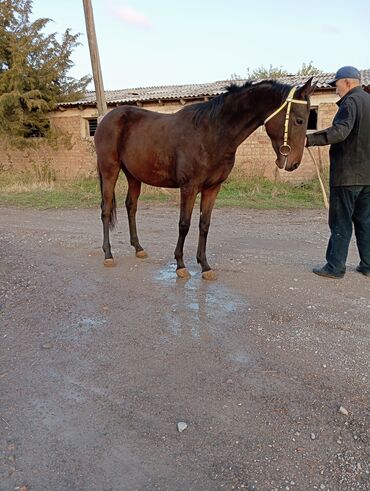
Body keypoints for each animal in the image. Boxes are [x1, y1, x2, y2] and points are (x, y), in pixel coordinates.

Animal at [94, 77, 316, 278]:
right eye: (299, 120)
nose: (294, 163)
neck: (212, 133)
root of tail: (106, 119)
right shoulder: (189, 187)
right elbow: (184, 225)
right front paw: (181, 265)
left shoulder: (213, 188)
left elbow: (204, 225)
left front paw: (205, 266)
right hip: (109, 170)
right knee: (106, 209)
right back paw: (108, 255)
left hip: (133, 175)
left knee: (131, 206)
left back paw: (138, 248)